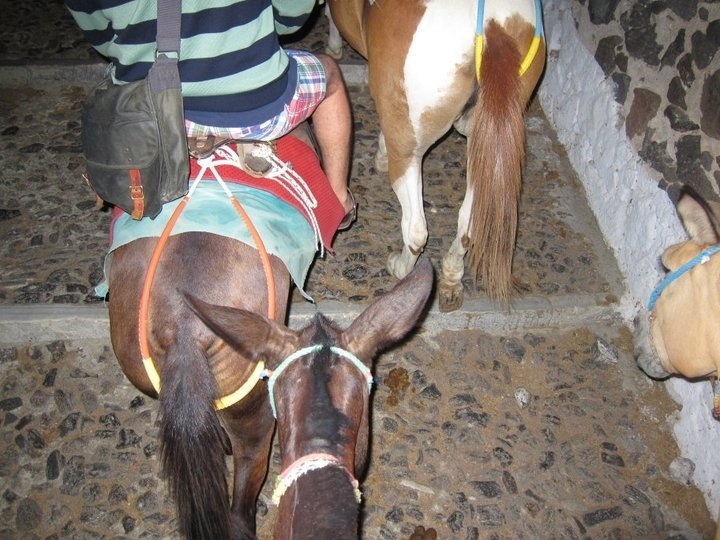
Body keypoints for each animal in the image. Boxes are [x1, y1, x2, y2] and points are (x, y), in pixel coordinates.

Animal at [326, 0, 544, 310]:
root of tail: (494, 25)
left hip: (409, 153)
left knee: (416, 229)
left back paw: (401, 269)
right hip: (485, 148)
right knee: (469, 226)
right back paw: (452, 279)